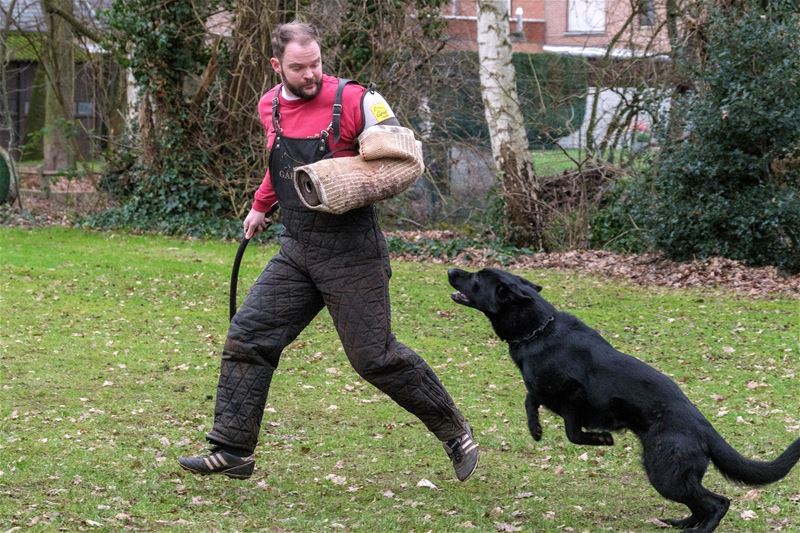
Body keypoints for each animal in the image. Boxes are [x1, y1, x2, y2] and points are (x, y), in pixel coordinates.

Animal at [446, 268, 796, 528]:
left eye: (477, 278)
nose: (451, 270)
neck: (538, 330)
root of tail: (704, 427)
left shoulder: (574, 396)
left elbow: (572, 431)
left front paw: (600, 439)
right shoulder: (542, 391)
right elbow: (530, 399)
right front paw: (536, 429)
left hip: (665, 473)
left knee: (718, 503)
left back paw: (696, 528)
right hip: (670, 474)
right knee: (702, 505)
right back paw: (682, 523)